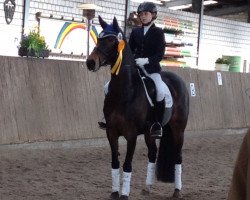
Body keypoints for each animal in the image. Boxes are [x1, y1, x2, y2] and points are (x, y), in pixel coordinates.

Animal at [86, 16, 189, 200]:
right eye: (99, 39)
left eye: (112, 40)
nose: (90, 63)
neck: (125, 92)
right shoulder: (111, 132)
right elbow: (115, 163)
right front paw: (115, 193)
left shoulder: (131, 135)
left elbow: (127, 165)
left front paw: (124, 195)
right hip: (150, 132)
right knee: (152, 154)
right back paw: (147, 188)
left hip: (178, 130)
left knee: (178, 157)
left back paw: (177, 191)